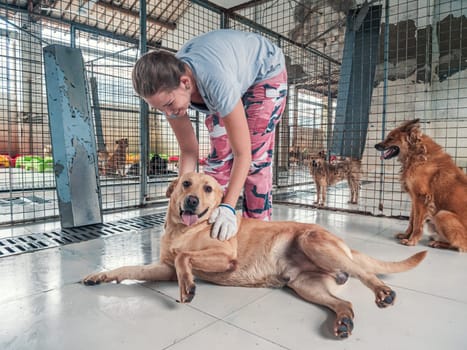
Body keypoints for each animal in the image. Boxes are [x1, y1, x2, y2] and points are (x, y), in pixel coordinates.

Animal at [83, 172, 428, 340]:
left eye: (208, 189)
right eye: (185, 184)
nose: (192, 201)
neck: (183, 230)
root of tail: (343, 244)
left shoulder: (223, 256)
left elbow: (184, 258)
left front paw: (188, 286)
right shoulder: (163, 268)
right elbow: (130, 268)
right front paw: (101, 275)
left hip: (313, 241)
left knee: (365, 274)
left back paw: (383, 292)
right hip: (307, 285)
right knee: (345, 303)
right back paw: (342, 322)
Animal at [374, 119, 467, 252]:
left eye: (390, 138)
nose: (375, 145)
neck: (416, 154)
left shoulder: (421, 198)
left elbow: (417, 223)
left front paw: (412, 241)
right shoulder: (414, 199)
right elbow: (412, 221)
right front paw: (406, 235)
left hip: (442, 214)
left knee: (462, 245)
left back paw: (438, 243)